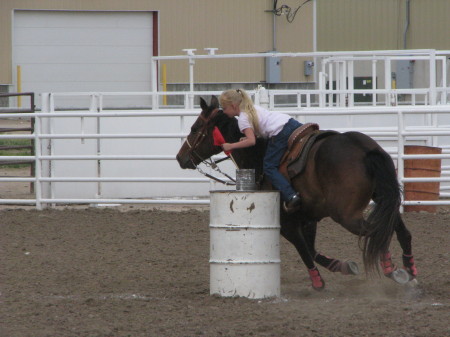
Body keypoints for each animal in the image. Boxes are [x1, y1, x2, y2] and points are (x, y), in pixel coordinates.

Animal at [177, 96, 418, 290]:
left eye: (195, 127)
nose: (180, 158)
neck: (258, 154)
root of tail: (364, 149)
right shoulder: (308, 218)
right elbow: (311, 249)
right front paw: (342, 266)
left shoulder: (286, 221)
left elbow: (303, 249)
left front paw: (318, 282)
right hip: (384, 199)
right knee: (398, 230)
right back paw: (410, 270)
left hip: (346, 214)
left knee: (375, 231)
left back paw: (391, 269)